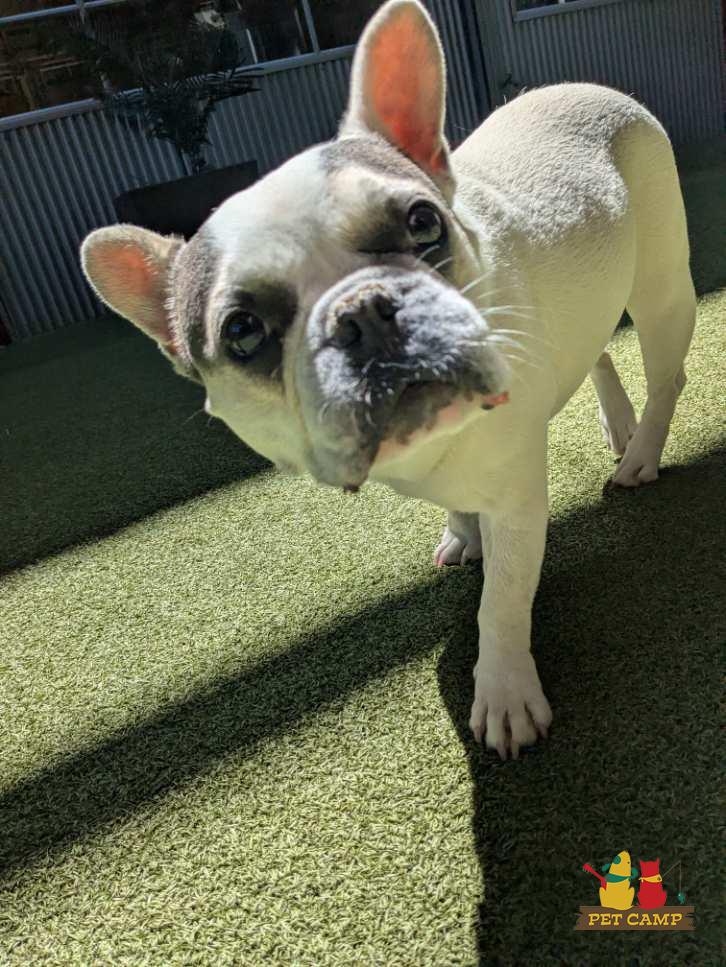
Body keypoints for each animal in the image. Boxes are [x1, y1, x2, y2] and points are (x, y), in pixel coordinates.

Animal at [81, 0, 695, 758]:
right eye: (243, 331)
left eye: (423, 220)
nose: (363, 311)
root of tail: (587, 88)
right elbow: (461, 512)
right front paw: (461, 532)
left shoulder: (518, 500)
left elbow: (501, 601)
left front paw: (503, 692)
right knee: (600, 351)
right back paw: (619, 424)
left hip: (660, 286)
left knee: (667, 374)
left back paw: (641, 452)